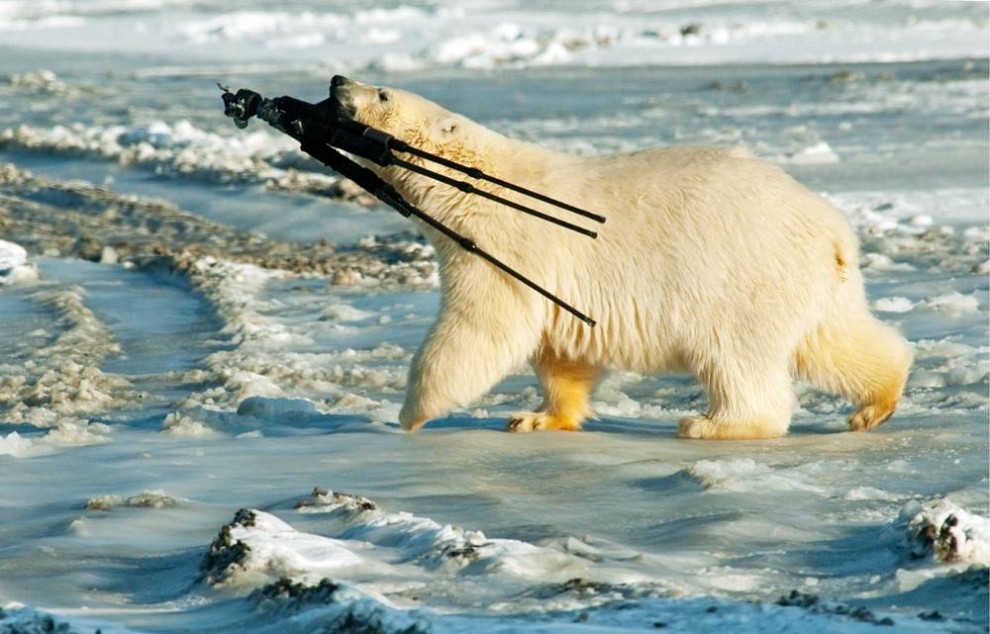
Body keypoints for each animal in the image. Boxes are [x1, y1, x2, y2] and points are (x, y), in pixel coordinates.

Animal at [328, 75, 912, 440]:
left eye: (383, 92)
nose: (336, 82)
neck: (475, 183)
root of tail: (831, 229)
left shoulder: (506, 245)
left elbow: (481, 326)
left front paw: (409, 414)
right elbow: (560, 353)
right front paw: (536, 418)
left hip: (742, 277)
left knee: (735, 357)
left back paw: (711, 424)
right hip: (814, 284)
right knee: (833, 341)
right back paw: (875, 405)